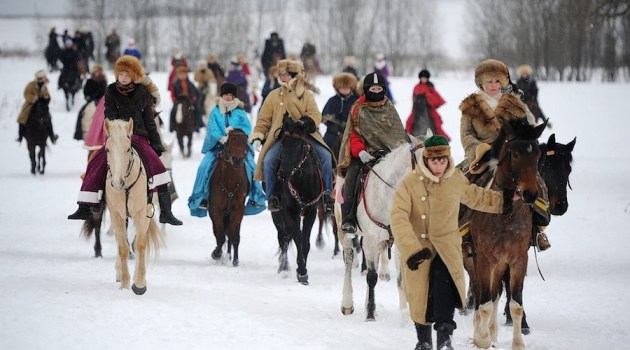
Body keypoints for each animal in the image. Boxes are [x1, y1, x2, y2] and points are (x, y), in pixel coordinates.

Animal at [103, 119, 163, 294]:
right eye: (107, 149)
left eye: (128, 149)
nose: (117, 183)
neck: (126, 187)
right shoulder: (116, 214)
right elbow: (123, 247)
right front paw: (124, 283)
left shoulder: (142, 212)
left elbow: (140, 244)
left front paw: (140, 284)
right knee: (119, 240)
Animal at [209, 129, 251, 268]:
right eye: (231, 140)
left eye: (244, 142)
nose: (237, 160)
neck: (230, 184)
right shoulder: (215, 210)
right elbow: (220, 236)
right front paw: (216, 253)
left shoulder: (238, 210)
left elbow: (233, 235)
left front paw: (234, 259)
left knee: (232, 236)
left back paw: (231, 257)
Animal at [272, 115, 326, 284]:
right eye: (283, 143)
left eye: (298, 144)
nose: (282, 174)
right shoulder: (289, 211)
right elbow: (296, 237)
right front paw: (301, 272)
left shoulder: (311, 212)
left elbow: (305, 242)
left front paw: (302, 271)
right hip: (277, 213)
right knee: (283, 237)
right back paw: (283, 268)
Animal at [338, 133, 432, 322]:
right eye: (425, 161)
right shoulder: (370, 238)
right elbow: (371, 277)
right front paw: (370, 314)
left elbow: (401, 279)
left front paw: (405, 312)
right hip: (345, 231)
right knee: (349, 261)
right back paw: (347, 304)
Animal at [470, 118, 548, 350]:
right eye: (515, 154)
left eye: (537, 154)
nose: (530, 194)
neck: (506, 214)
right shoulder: (484, 259)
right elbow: (484, 303)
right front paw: (482, 339)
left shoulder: (518, 260)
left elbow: (515, 304)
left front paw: (517, 343)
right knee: (481, 295)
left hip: (501, 264)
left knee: (496, 294)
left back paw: (493, 333)